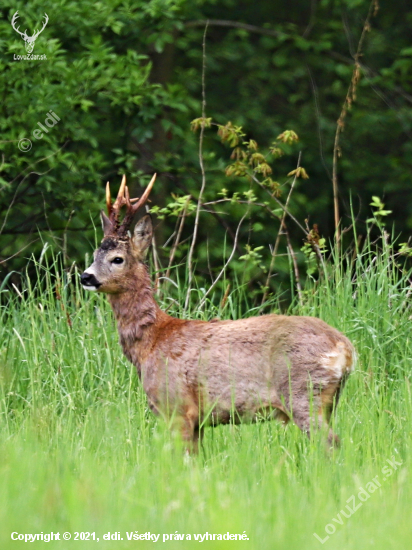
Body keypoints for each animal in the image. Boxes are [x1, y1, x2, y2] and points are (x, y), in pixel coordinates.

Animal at [80, 177, 354, 452]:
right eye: (94, 255)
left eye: (117, 259)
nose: (85, 277)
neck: (151, 343)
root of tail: (346, 348)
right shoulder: (198, 421)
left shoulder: (177, 407)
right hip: (328, 400)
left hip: (303, 392)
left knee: (331, 443)